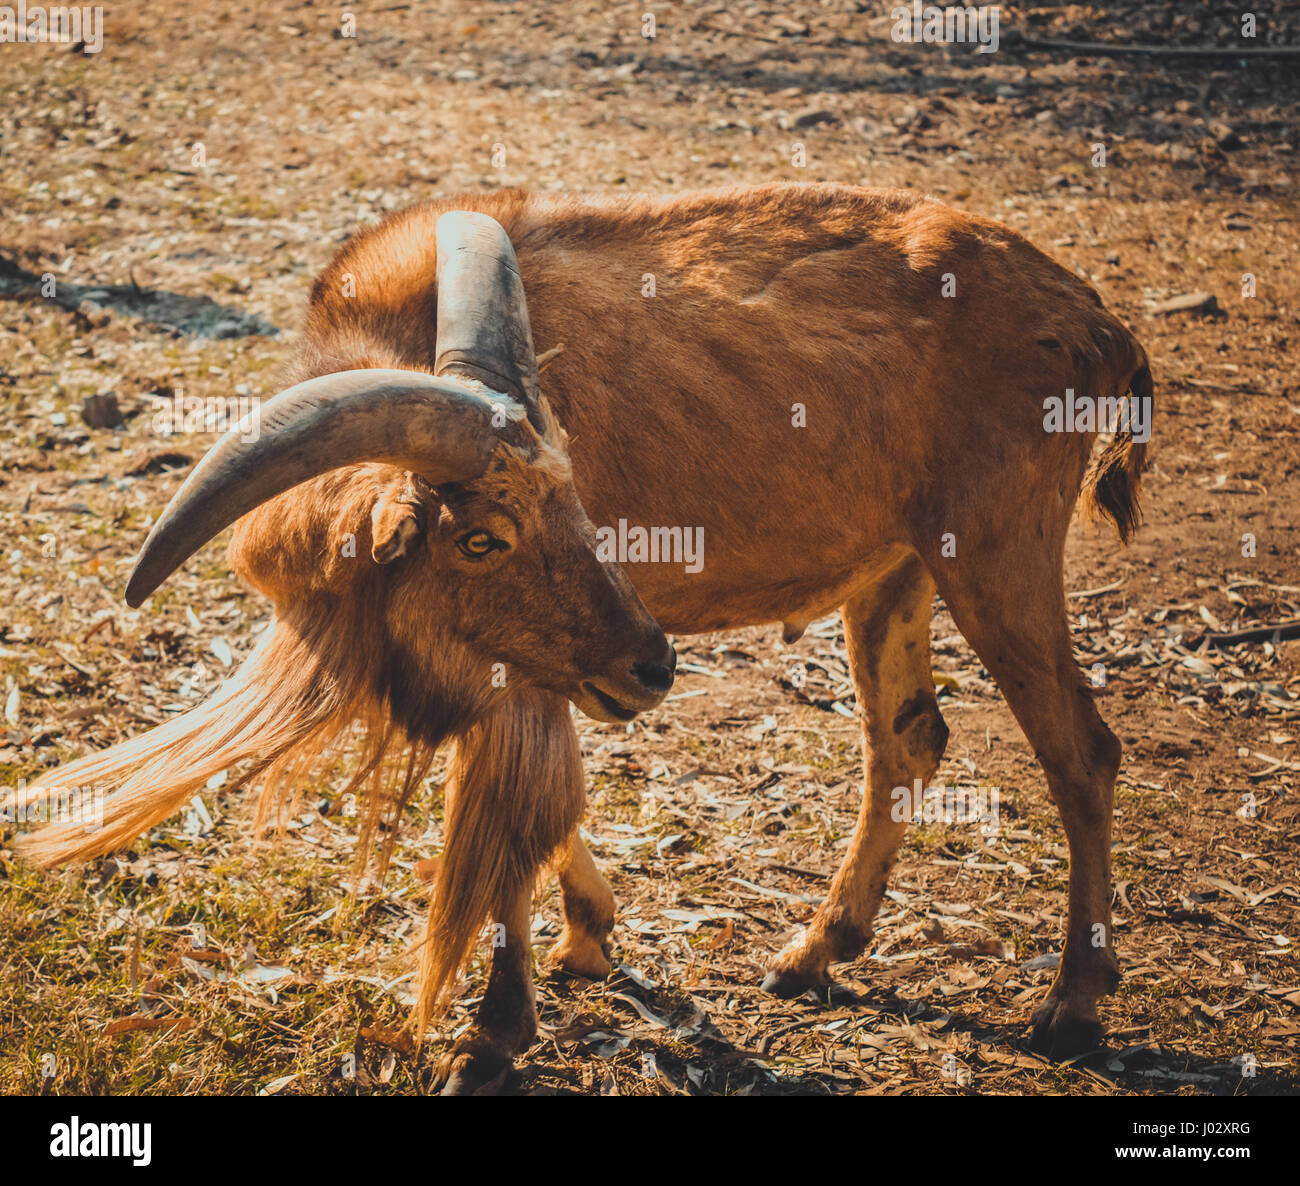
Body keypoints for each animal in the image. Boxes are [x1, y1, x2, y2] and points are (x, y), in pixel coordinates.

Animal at [12, 183, 1152, 1093]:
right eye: (482, 535)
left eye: (574, 502)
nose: (652, 664)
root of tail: (1095, 323)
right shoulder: (541, 664)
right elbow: (547, 815)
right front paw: (589, 939)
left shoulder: (526, 682)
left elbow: (510, 819)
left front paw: (493, 1034)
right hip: (897, 572)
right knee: (908, 740)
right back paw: (814, 952)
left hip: (997, 557)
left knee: (1081, 751)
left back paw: (1072, 1005)